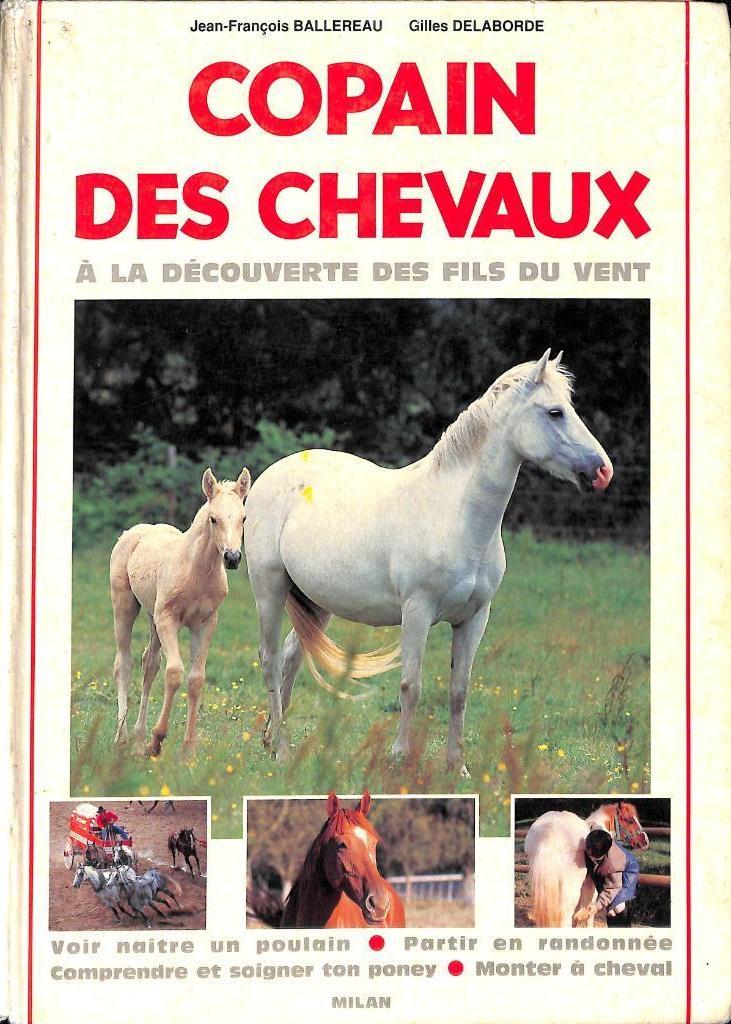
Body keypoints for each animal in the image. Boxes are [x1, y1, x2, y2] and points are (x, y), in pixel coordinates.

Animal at [111, 466, 250, 756]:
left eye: (244, 518)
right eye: (213, 519)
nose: (232, 558)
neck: (196, 571)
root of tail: (133, 532)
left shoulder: (205, 623)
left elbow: (196, 680)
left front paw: (187, 750)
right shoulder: (168, 620)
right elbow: (174, 672)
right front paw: (157, 741)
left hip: (151, 616)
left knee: (149, 664)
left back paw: (138, 740)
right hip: (124, 605)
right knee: (124, 663)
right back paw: (123, 737)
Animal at [244, 350, 613, 771]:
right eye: (555, 412)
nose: (603, 471)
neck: (456, 514)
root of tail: (272, 474)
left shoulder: (474, 618)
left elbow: (459, 690)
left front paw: (458, 767)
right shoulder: (417, 611)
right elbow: (411, 686)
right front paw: (400, 759)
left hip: (316, 602)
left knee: (291, 657)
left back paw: (273, 740)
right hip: (270, 591)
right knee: (271, 660)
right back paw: (282, 751)